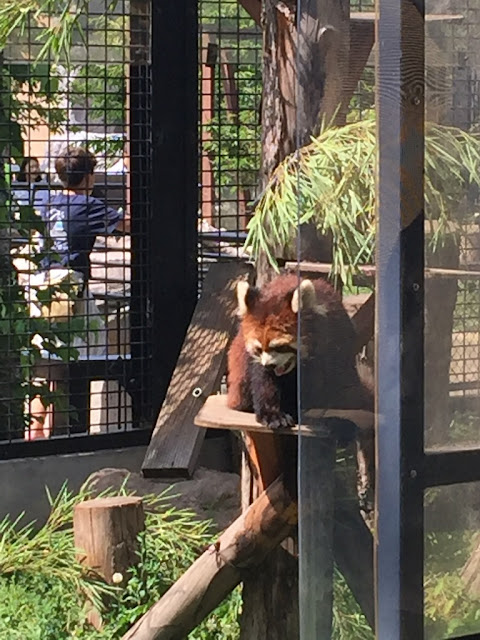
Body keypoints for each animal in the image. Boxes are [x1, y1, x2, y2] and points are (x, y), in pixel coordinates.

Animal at [226, 272, 375, 508]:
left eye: (279, 346)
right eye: (259, 349)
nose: (269, 364)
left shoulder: (334, 346)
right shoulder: (257, 365)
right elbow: (263, 381)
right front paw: (273, 415)